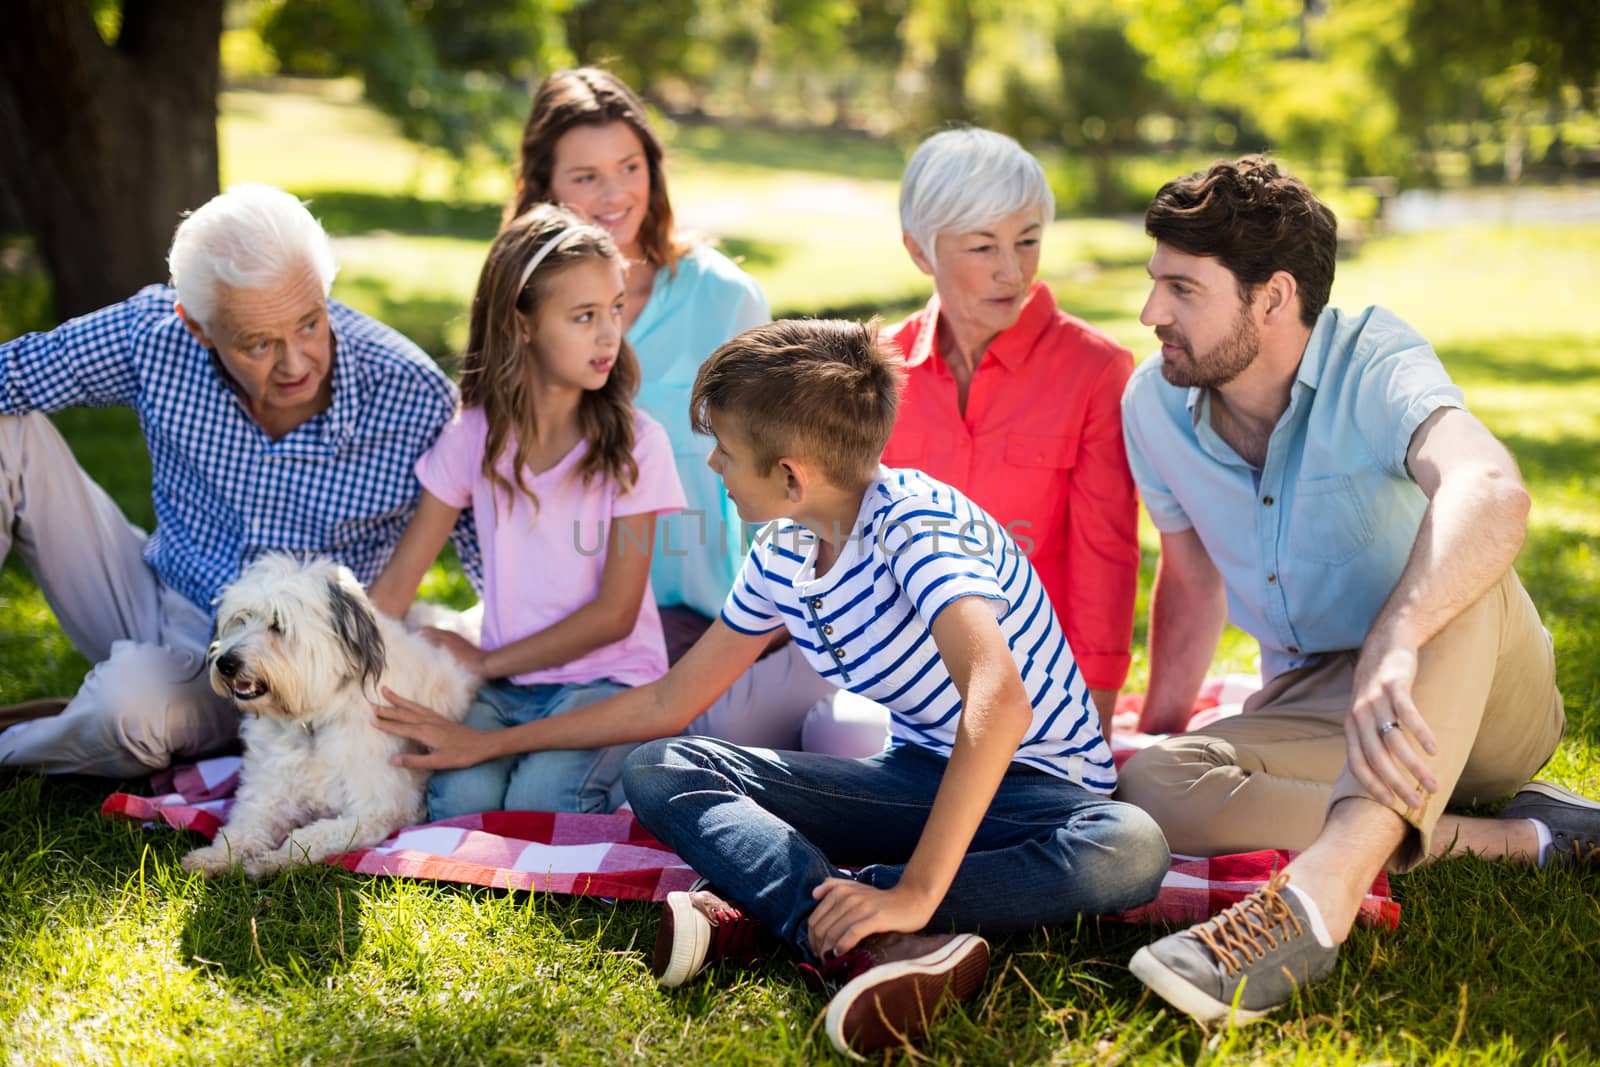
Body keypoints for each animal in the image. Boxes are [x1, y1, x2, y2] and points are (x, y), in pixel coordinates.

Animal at [183, 556, 473, 883]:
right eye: (240, 619)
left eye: (278, 625)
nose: (225, 663)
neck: (316, 716)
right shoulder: (268, 792)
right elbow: (244, 825)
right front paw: (214, 857)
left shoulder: (377, 809)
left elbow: (310, 836)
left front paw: (273, 861)